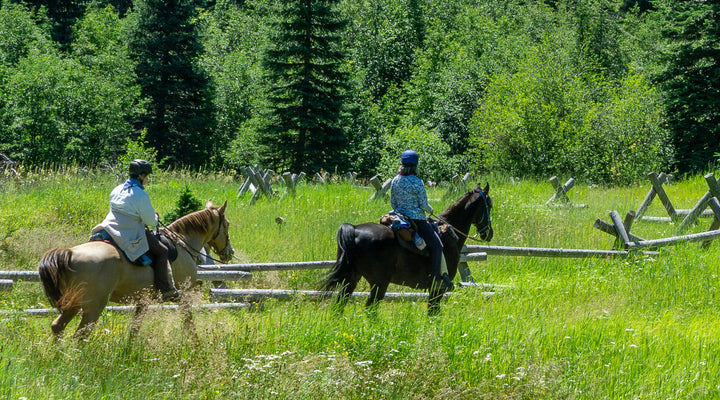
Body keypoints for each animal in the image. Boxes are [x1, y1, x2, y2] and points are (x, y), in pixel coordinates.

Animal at [38, 200, 234, 340]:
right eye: (227, 224)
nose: (229, 252)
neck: (182, 242)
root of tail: (70, 253)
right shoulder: (184, 295)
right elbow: (189, 323)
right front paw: (196, 346)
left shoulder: (143, 301)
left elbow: (134, 329)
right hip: (93, 306)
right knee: (81, 334)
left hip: (73, 303)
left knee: (58, 327)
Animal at [322, 183, 493, 315]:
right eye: (489, 205)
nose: (489, 233)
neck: (449, 232)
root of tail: (355, 229)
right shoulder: (437, 290)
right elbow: (433, 314)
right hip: (379, 283)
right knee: (370, 309)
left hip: (351, 278)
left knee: (340, 305)